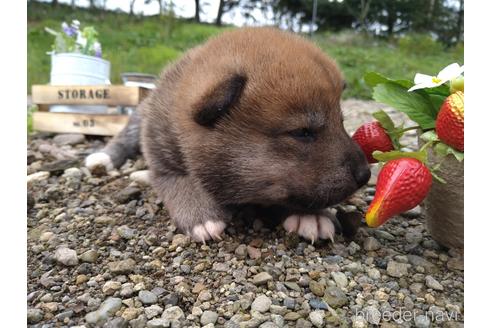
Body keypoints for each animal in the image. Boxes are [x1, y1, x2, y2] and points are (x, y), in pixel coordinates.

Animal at [85, 26, 368, 243]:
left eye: (341, 122)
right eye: (302, 132)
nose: (365, 174)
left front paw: (312, 215)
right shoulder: (162, 153)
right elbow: (179, 180)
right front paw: (200, 214)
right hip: (140, 115)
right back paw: (103, 158)